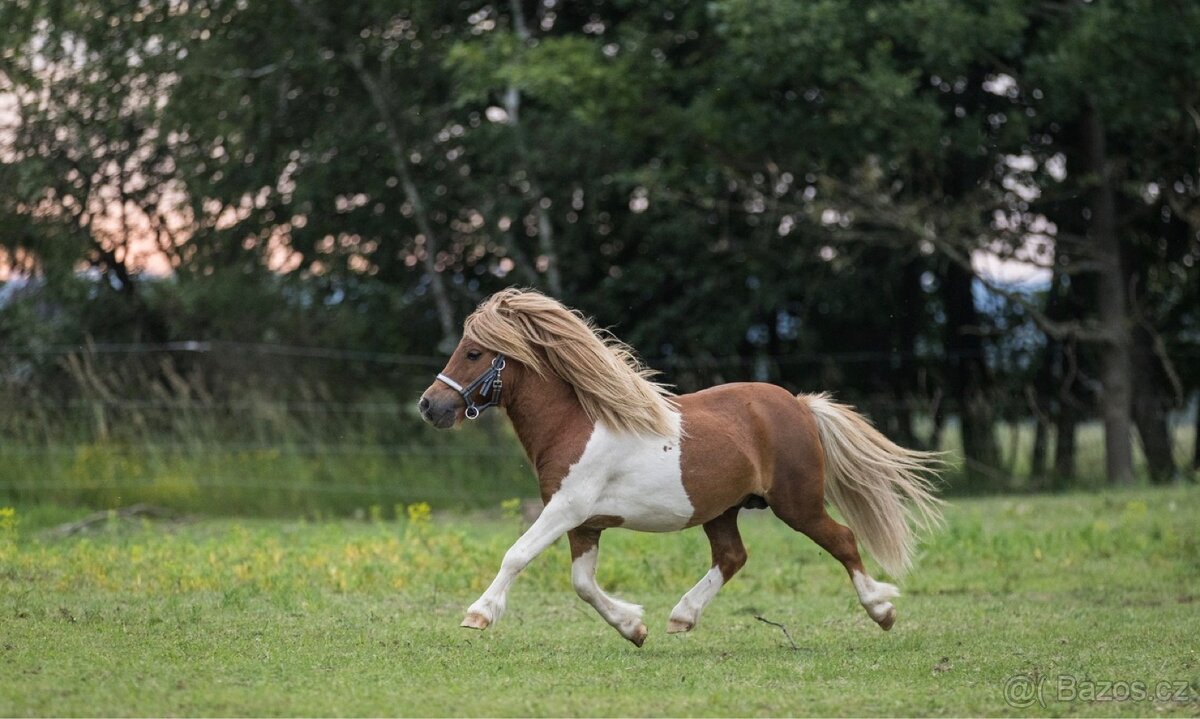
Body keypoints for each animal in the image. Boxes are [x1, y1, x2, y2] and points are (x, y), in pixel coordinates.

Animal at [418, 288, 943, 647]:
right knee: (732, 556)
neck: (576, 423)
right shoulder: (585, 523)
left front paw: (479, 614)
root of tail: (798, 404)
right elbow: (583, 584)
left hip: (798, 503)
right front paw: (634, 627)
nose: (429, 406)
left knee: (843, 540)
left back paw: (882, 611)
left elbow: (517, 554)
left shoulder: (566, 509)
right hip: (722, 509)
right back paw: (681, 616)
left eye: (473, 352)